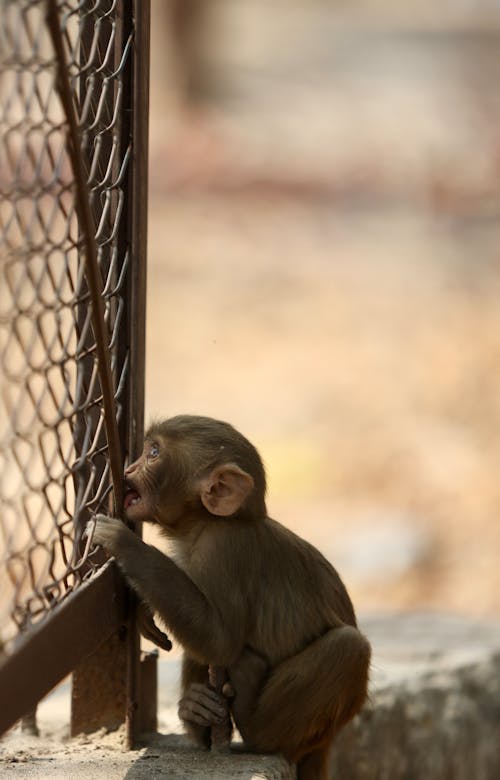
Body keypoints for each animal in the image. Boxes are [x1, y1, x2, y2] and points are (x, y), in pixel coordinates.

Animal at [92, 418, 370, 776]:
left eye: (153, 452)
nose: (128, 468)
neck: (203, 522)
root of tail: (326, 741)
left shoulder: (223, 547)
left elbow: (220, 641)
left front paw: (125, 544)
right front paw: (142, 608)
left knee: (349, 647)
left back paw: (253, 723)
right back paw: (197, 713)